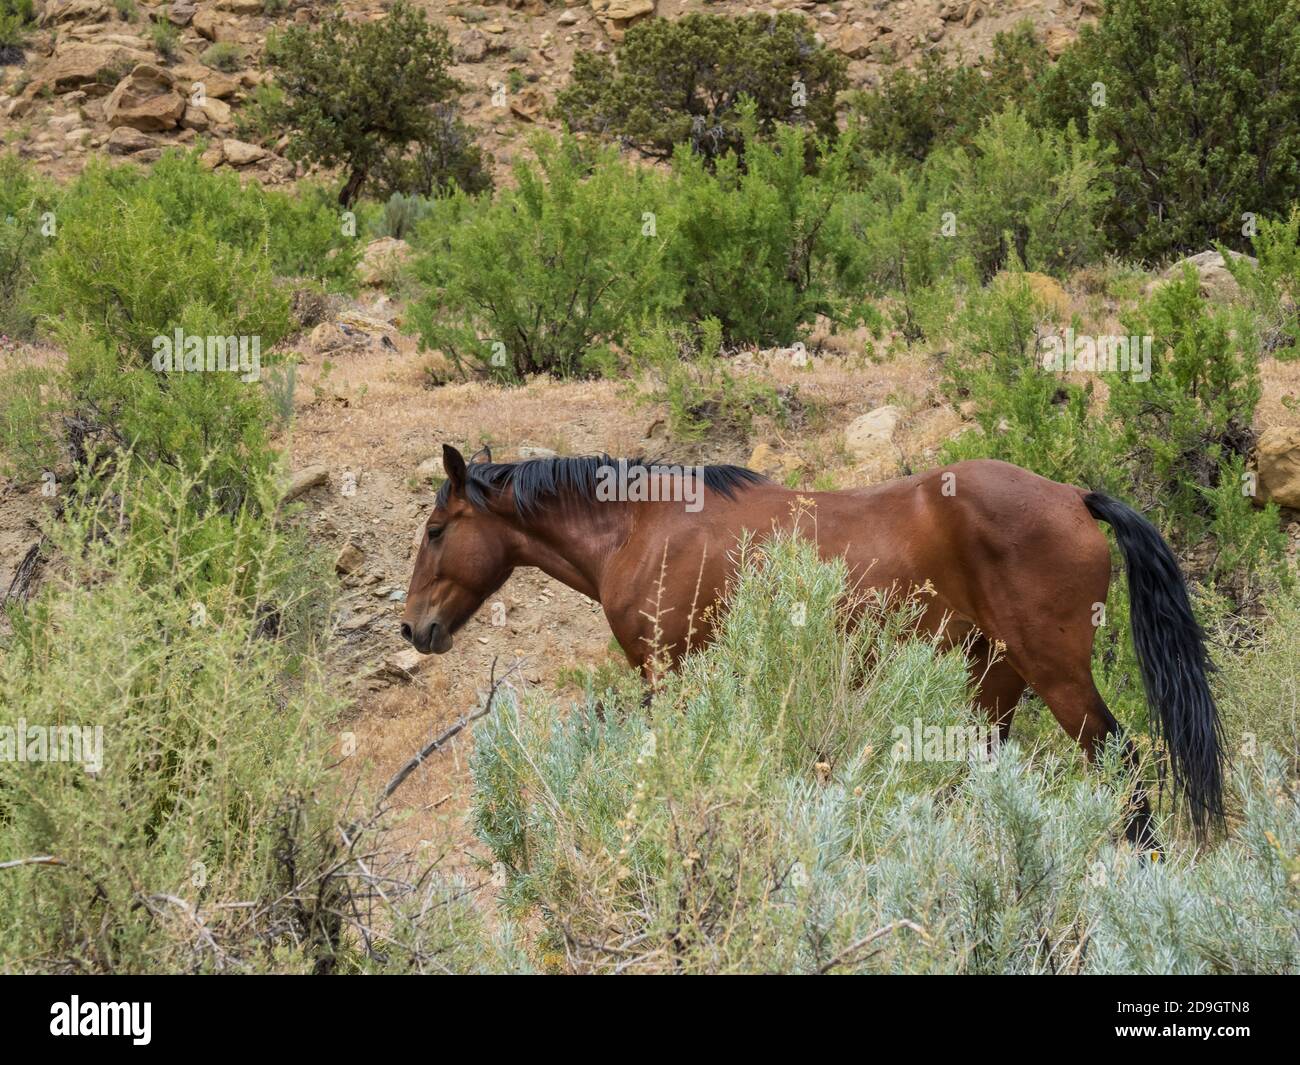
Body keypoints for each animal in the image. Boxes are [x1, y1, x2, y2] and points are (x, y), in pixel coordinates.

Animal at [400, 444, 1222, 847]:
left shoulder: (665, 676)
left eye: (437, 531)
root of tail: (1074, 496)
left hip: (1056, 676)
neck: (639, 526)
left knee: (1128, 769)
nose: (413, 628)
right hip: (995, 678)